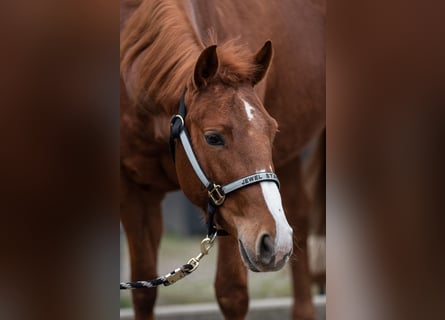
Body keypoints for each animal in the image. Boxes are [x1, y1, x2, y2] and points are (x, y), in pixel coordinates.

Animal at [119, 0, 324, 320]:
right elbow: (144, 290)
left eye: (271, 131)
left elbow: (231, 293)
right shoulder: (135, 192)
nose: (275, 243)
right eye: (213, 137)